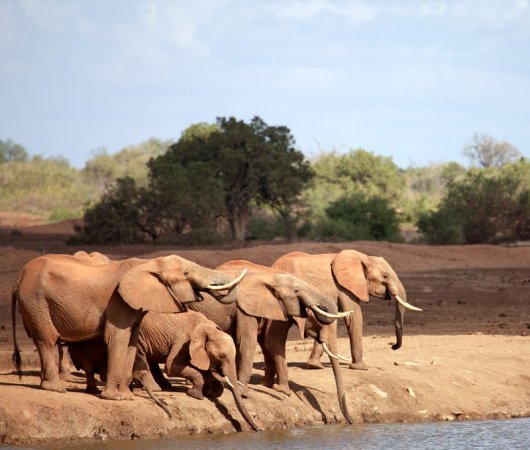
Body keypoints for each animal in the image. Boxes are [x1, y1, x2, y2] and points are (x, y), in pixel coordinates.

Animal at [9, 253, 245, 400]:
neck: (147, 263)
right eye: (186, 273)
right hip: (36, 302)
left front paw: (127, 396)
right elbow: (118, 338)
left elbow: (131, 341)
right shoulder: (118, 301)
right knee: (47, 341)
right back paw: (56, 389)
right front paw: (115, 398)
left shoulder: (134, 305)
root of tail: (18, 278)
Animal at [270, 250, 418, 370]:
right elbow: (354, 316)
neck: (364, 257)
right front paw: (361, 368)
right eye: (385, 276)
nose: (393, 346)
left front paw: (314, 366)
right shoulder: (345, 287)